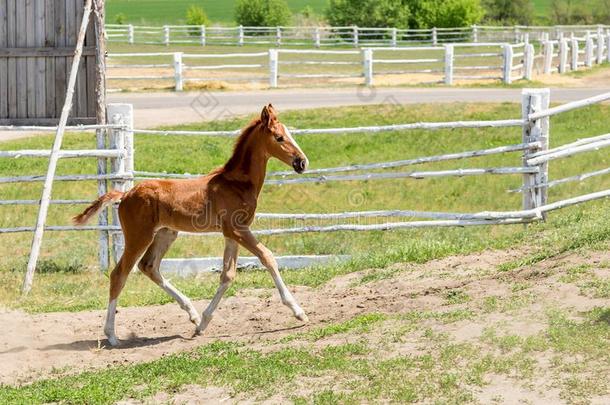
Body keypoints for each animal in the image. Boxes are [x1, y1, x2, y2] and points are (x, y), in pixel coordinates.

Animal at [73, 104, 306, 344]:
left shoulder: (231, 234)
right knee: (119, 274)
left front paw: (202, 324)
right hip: (139, 237)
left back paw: (192, 313)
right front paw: (298, 311)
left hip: (165, 234)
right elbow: (267, 257)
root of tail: (125, 194)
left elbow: (227, 275)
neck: (236, 183)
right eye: (279, 137)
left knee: (149, 267)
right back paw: (111, 335)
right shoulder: (239, 230)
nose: (301, 162)